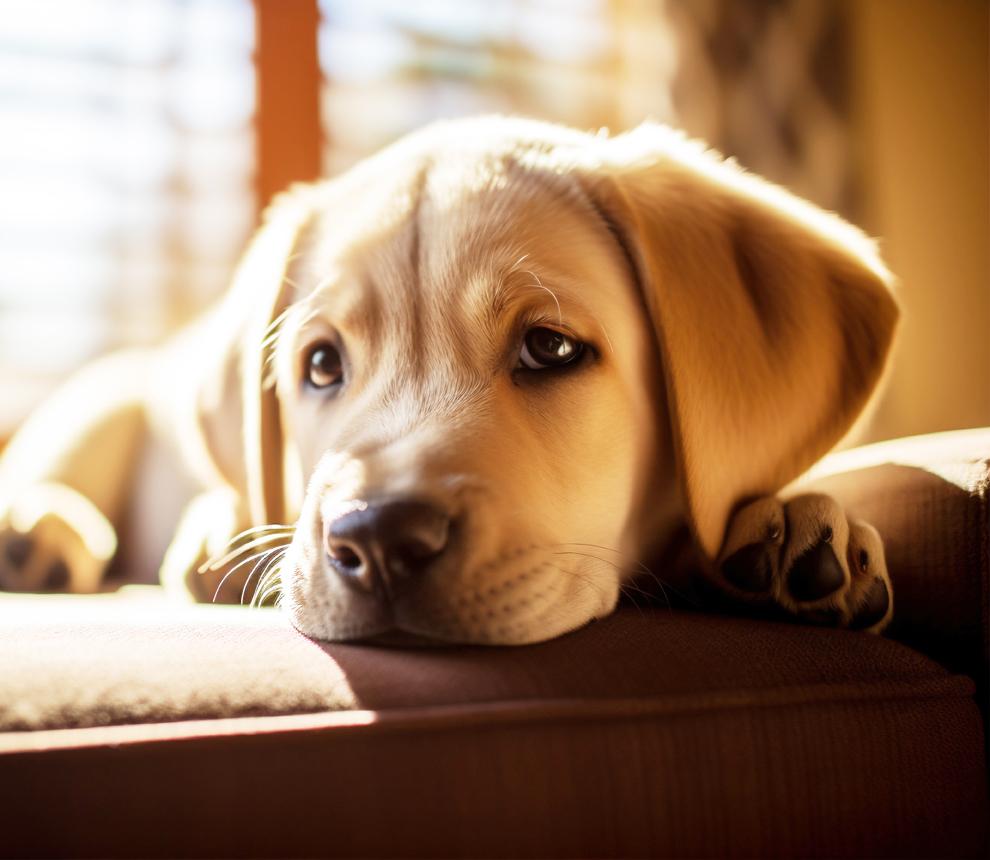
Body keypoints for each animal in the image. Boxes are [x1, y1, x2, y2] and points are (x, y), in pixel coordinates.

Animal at [0, 119, 900, 644]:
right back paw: (46, 531)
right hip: (101, 403)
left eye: (550, 348)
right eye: (320, 365)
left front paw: (789, 529)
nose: (377, 540)